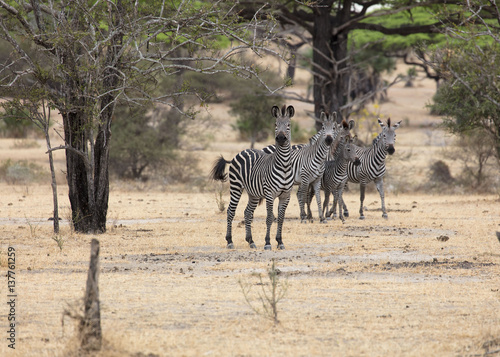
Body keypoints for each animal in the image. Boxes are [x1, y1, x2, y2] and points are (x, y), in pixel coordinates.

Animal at [210, 104, 294, 249]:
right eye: (275, 124)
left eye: (288, 125)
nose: (280, 139)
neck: (283, 165)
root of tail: (241, 152)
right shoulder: (270, 194)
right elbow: (269, 218)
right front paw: (267, 243)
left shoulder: (286, 195)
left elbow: (281, 218)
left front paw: (280, 241)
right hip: (236, 187)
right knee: (230, 211)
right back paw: (230, 241)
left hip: (253, 193)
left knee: (247, 212)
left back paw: (250, 240)